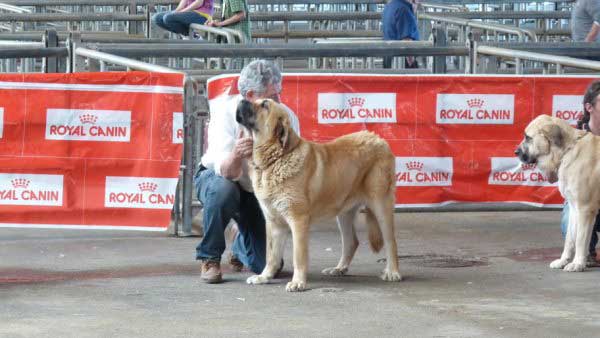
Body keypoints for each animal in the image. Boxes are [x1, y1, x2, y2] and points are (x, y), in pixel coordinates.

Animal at [237, 97, 400, 290]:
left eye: (265, 105)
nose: (241, 100)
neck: (276, 158)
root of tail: (379, 139)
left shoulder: (298, 220)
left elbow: (298, 255)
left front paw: (298, 282)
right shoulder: (274, 222)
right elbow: (271, 255)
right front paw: (264, 276)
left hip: (381, 205)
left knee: (391, 241)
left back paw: (393, 272)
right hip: (344, 212)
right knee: (351, 242)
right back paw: (339, 269)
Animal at [512, 115, 596, 274]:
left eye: (528, 137)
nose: (516, 152)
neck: (567, 151)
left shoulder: (585, 209)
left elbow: (580, 239)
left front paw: (577, 263)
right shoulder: (574, 208)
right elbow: (570, 238)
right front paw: (564, 260)